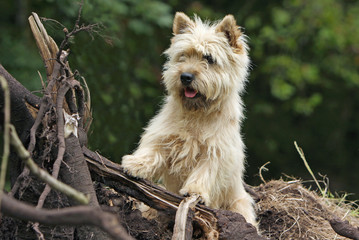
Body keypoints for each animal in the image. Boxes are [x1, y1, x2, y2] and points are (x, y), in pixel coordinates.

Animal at [122, 12, 258, 226]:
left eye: (209, 58)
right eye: (183, 56)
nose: (185, 76)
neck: (197, 113)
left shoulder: (216, 152)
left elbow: (205, 172)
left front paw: (196, 192)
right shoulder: (163, 136)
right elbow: (152, 152)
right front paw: (136, 165)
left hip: (239, 204)